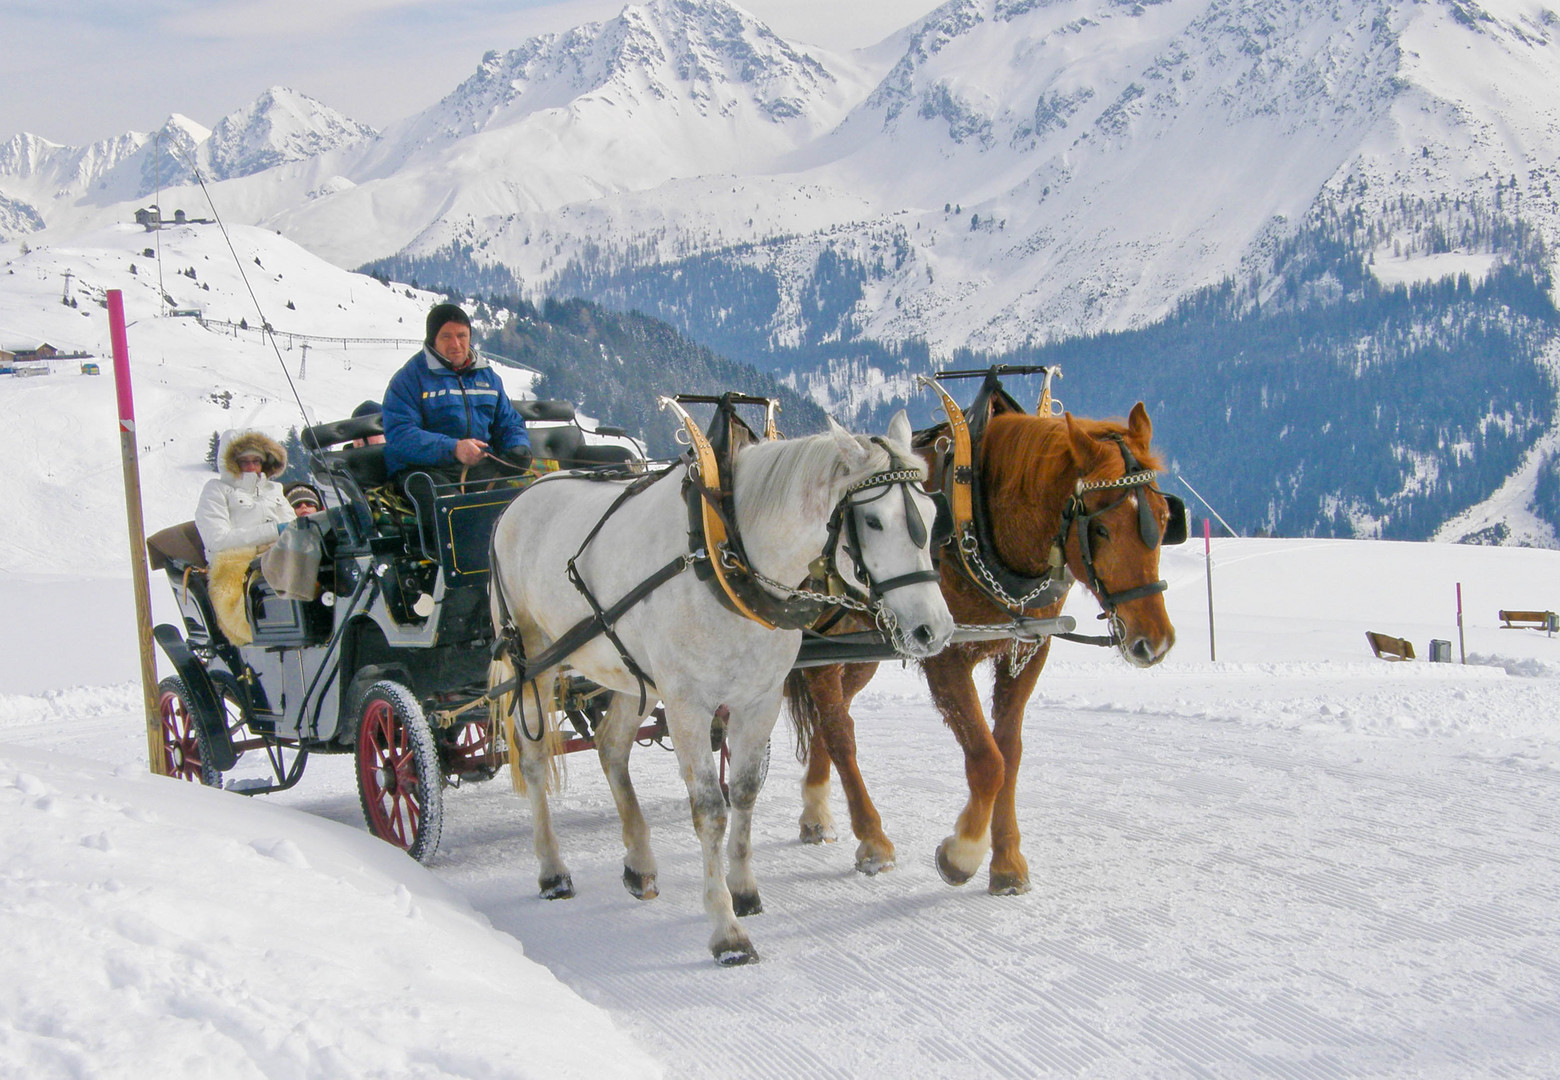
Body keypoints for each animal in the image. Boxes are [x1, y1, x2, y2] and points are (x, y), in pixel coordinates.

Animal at [489, 412, 948, 961]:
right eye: (875, 521)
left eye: (931, 513)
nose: (934, 630)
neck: (721, 552)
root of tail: (517, 500)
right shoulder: (688, 705)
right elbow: (710, 810)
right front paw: (726, 929)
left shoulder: (759, 699)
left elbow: (745, 794)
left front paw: (744, 890)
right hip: (534, 661)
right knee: (536, 760)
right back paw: (552, 871)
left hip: (634, 675)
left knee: (610, 746)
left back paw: (639, 864)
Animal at [786, 399, 1173, 892]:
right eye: (1101, 530)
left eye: (1165, 517)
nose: (1155, 642)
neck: (981, 519)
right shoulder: (944, 654)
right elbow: (987, 760)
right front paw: (963, 853)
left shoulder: (1028, 650)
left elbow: (1009, 753)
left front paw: (1006, 862)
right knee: (838, 729)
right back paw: (872, 839)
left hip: (858, 649)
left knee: (831, 715)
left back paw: (816, 811)